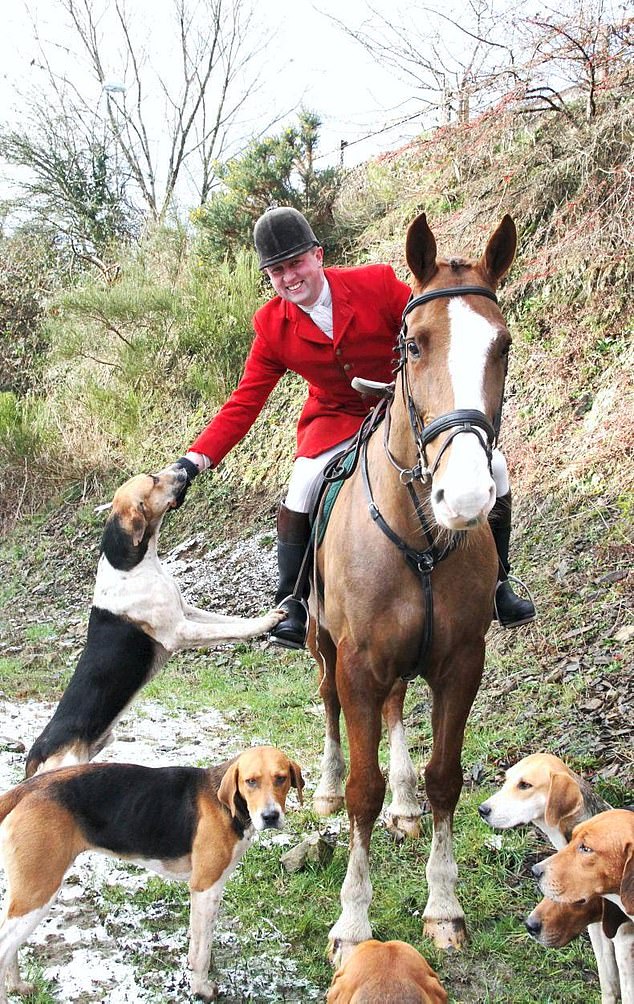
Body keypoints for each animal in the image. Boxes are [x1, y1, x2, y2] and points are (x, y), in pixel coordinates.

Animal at [0, 745, 303, 1002]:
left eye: (281, 779)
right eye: (251, 781)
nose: (270, 817)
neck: (227, 805)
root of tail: (26, 789)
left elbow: (196, 944)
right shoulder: (206, 888)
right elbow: (203, 950)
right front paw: (202, 989)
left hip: (23, 892)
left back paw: (18, 986)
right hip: (38, 893)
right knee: (4, 949)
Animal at [25, 466, 284, 776]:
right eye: (154, 480)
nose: (184, 468)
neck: (132, 565)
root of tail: (36, 754)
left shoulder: (187, 611)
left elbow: (228, 622)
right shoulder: (179, 631)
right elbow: (228, 629)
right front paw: (266, 623)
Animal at [308, 211, 517, 961]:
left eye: (502, 345)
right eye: (414, 343)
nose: (469, 496)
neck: (423, 536)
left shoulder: (460, 664)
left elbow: (444, 779)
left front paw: (444, 906)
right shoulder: (359, 665)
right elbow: (362, 791)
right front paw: (352, 923)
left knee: (400, 711)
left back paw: (403, 806)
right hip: (323, 646)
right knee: (331, 710)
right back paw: (325, 789)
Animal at [479, 753, 634, 1004]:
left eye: (525, 785)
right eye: (506, 779)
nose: (482, 809)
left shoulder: (622, 941)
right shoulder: (600, 931)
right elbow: (609, 983)